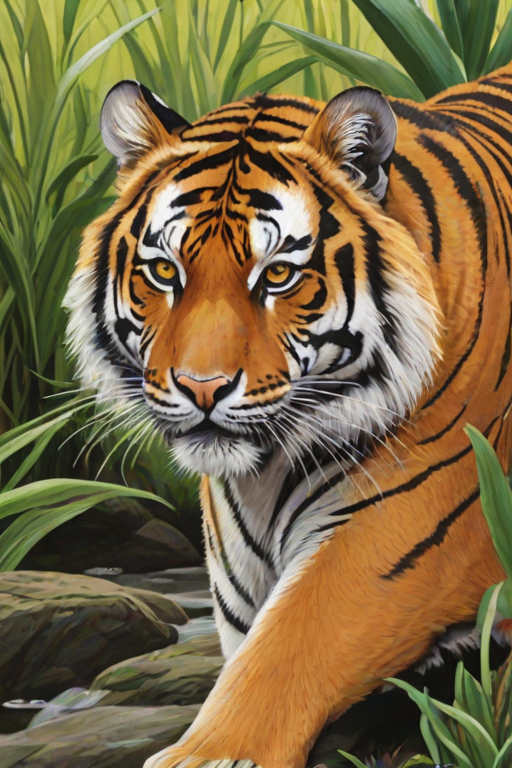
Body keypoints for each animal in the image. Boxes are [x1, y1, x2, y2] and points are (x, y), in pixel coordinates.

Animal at [65, 62, 512, 768]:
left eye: (276, 276)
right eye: (163, 270)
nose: (201, 388)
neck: (262, 476)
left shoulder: (402, 538)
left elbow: (289, 649)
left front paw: (210, 753)